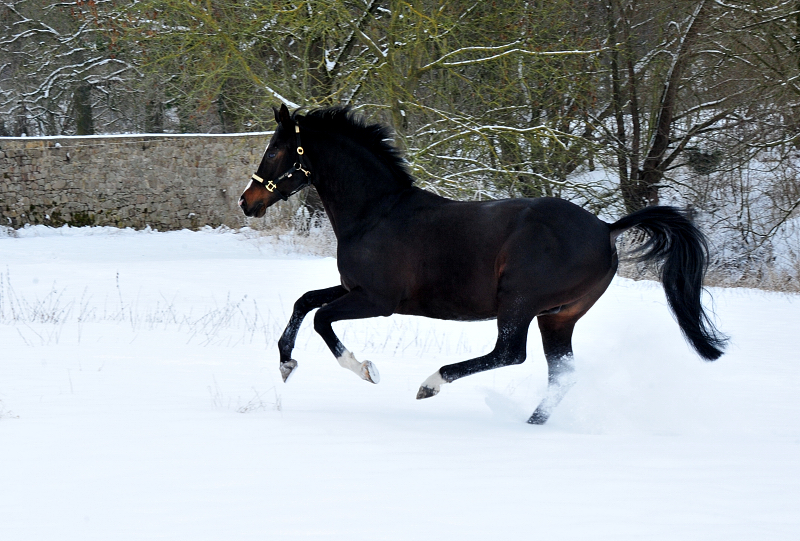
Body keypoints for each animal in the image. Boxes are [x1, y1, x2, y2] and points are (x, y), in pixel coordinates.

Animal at [236, 105, 724, 424]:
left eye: (276, 151)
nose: (247, 201)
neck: (376, 212)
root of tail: (606, 228)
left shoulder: (378, 299)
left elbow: (321, 319)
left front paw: (365, 370)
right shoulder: (353, 288)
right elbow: (304, 302)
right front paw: (285, 363)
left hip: (520, 302)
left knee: (510, 353)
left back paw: (431, 384)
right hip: (558, 317)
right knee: (561, 375)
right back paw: (531, 423)